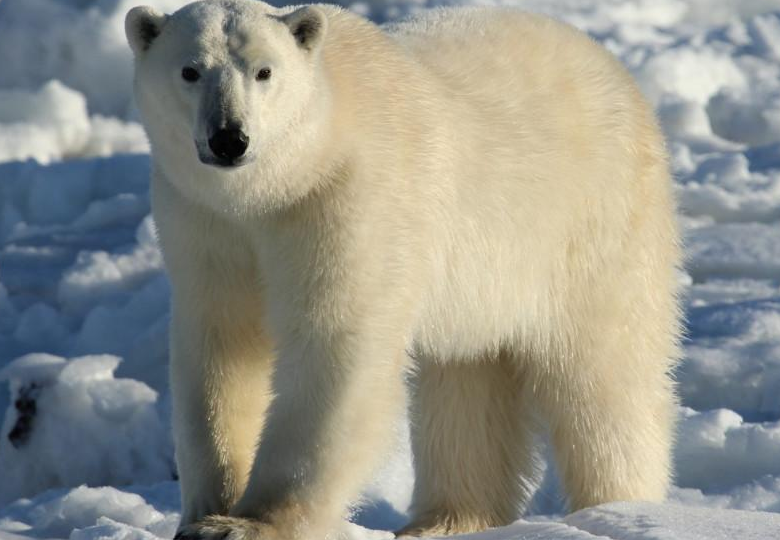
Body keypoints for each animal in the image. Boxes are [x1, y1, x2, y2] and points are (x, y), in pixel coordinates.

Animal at [125, 1, 682, 539]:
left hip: (592, 226)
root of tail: (612, 67)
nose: (229, 138)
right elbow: (222, 348)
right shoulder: (205, 221)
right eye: (190, 70)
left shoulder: (347, 200)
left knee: (603, 379)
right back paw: (445, 521)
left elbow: (334, 346)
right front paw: (205, 512)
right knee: (466, 381)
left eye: (264, 71)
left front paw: (247, 524)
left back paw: (618, 508)